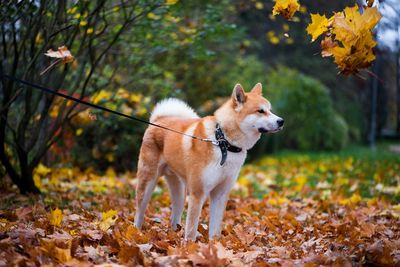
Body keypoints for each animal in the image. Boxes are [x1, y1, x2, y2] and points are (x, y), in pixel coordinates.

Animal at [135, 83, 284, 241]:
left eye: (270, 110)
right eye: (260, 111)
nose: (281, 121)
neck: (223, 143)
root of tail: (158, 120)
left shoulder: (221, 194)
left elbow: (215, 229)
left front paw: (215, 245)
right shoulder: (197, 194)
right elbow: (191, 230)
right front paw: (190, 246)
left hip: (180, 192)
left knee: (174, 216)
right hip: (148, 183)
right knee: (139, 211)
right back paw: (135, 232)